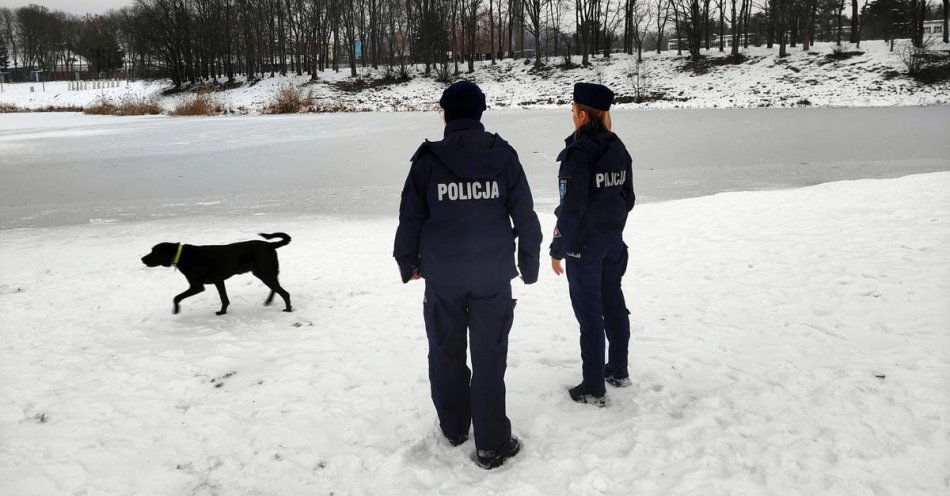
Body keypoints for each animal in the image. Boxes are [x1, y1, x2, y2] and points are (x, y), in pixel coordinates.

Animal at [142, 232, 294, 314]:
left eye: (155, 252)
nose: (142, 258)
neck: (183, 256)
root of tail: (270, 245)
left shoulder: (197, 286)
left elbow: (176, 297)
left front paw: (176, 310)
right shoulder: (218, 281)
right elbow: (224, 299)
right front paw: (222, 312)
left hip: (264, 273)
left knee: (284, 292)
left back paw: (287, 309)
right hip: (265, 273)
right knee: (276, 288)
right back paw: (268, 301)